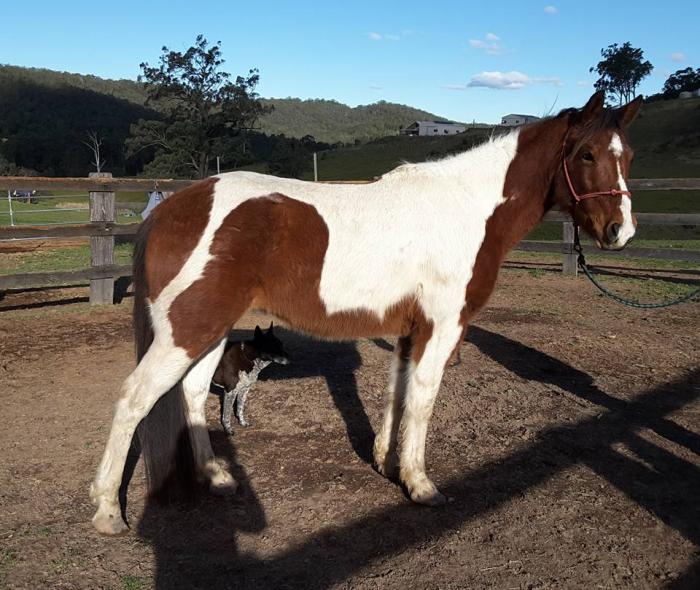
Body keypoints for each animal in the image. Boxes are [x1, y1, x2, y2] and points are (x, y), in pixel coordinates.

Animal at [90, 91, 642, 534]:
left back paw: (217, 478)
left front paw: (382, 461)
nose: (620, 231)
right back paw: (108, 512)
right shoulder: (441, 328)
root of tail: (171, 207)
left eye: (628, 155)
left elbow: (396, 393)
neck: (465, 209)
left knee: (192, 394)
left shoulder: (408, 330)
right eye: (587, 153)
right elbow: (421, 401)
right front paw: (420, 484)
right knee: (134, 399)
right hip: (188, 330)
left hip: (209, 332)